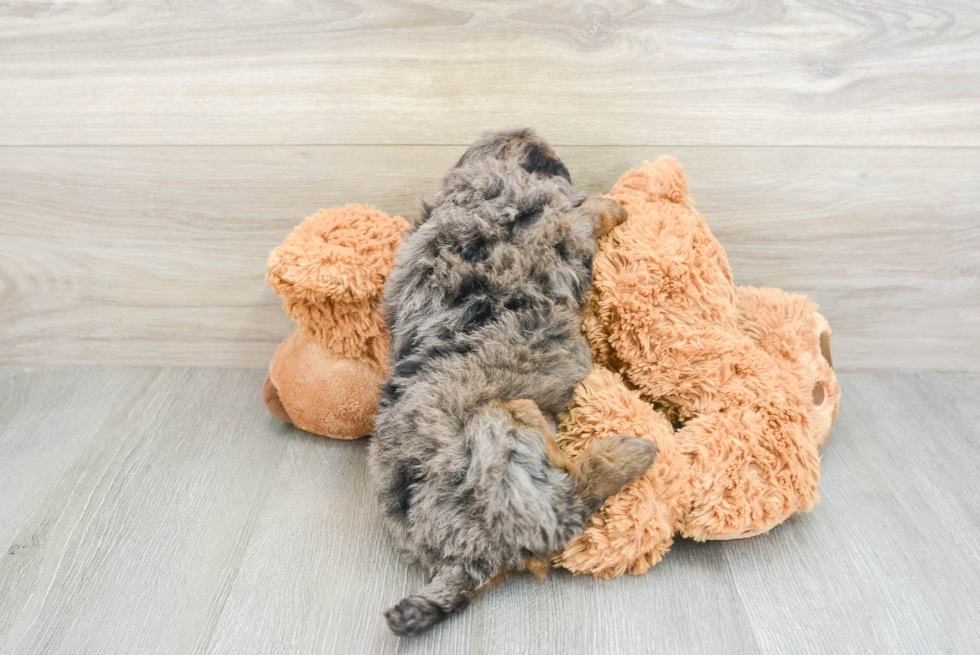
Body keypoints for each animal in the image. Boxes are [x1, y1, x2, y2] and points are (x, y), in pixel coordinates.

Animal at [370, 128, 660, 636]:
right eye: (547, 156)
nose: (536, 135)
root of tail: (472, 553)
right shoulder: (560, 227)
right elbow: (587, 215)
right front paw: (615, 206)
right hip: (503, 438)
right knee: (566, 503)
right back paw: (623, 453)